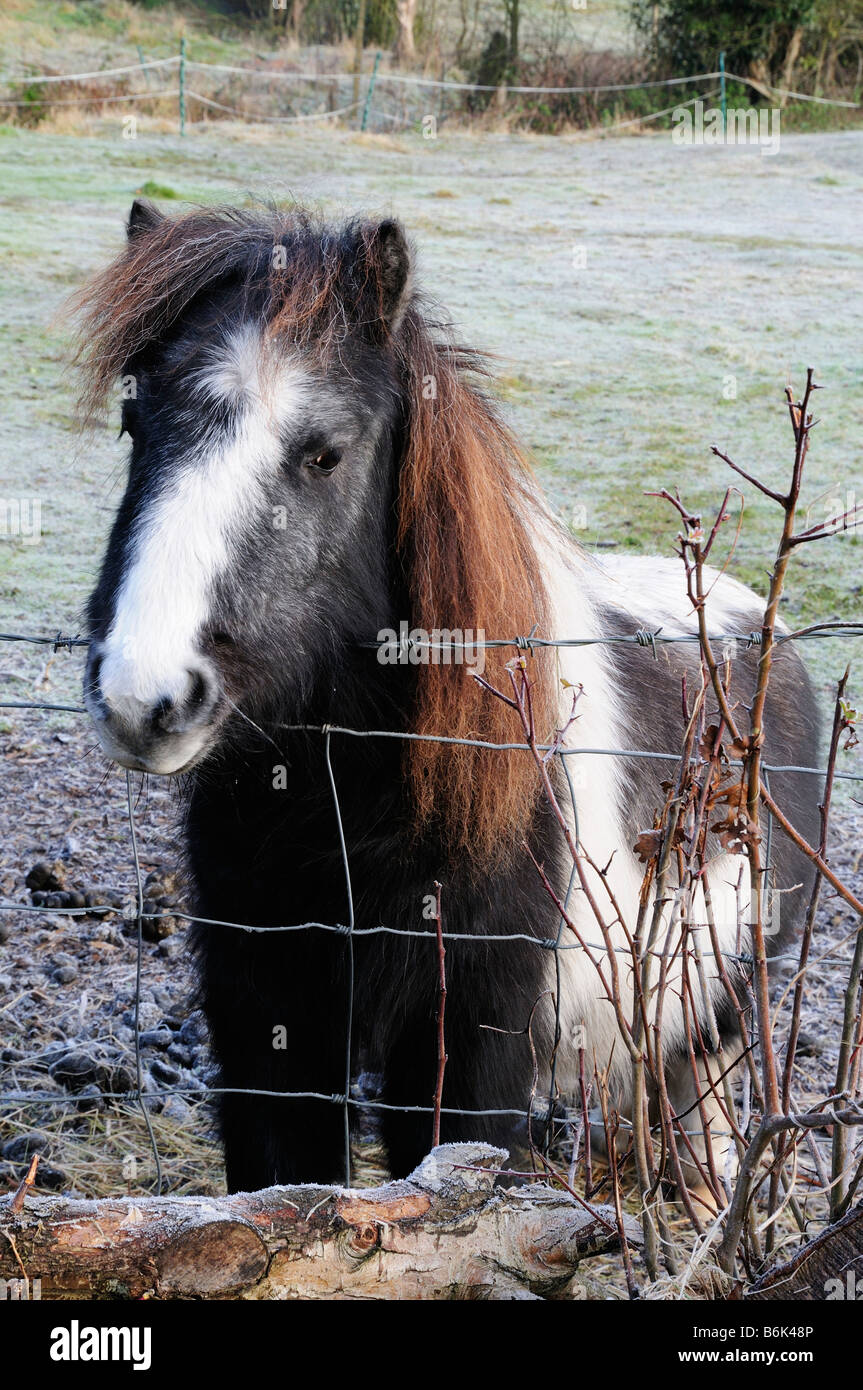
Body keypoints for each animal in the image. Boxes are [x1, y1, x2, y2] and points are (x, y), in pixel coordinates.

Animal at [74, 201, 817, 1200]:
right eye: (131, 424)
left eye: (324, 454)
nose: (144, 696)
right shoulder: (266, 1033)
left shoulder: (470, 1052)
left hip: (723, 1013)